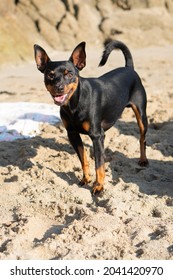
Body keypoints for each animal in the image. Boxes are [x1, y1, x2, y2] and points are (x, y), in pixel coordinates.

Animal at [34, 40, 149, 194]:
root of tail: (128, 68)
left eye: (69, 74)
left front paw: (98, 185)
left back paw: (143, 159)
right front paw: (86, 179)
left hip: (141, 115)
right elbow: (84, 159)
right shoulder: (73, 134)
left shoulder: (96, 135)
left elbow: (99, 164)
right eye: (50, 75)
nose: (59, 87)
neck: (74, 104)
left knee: (142, 138)